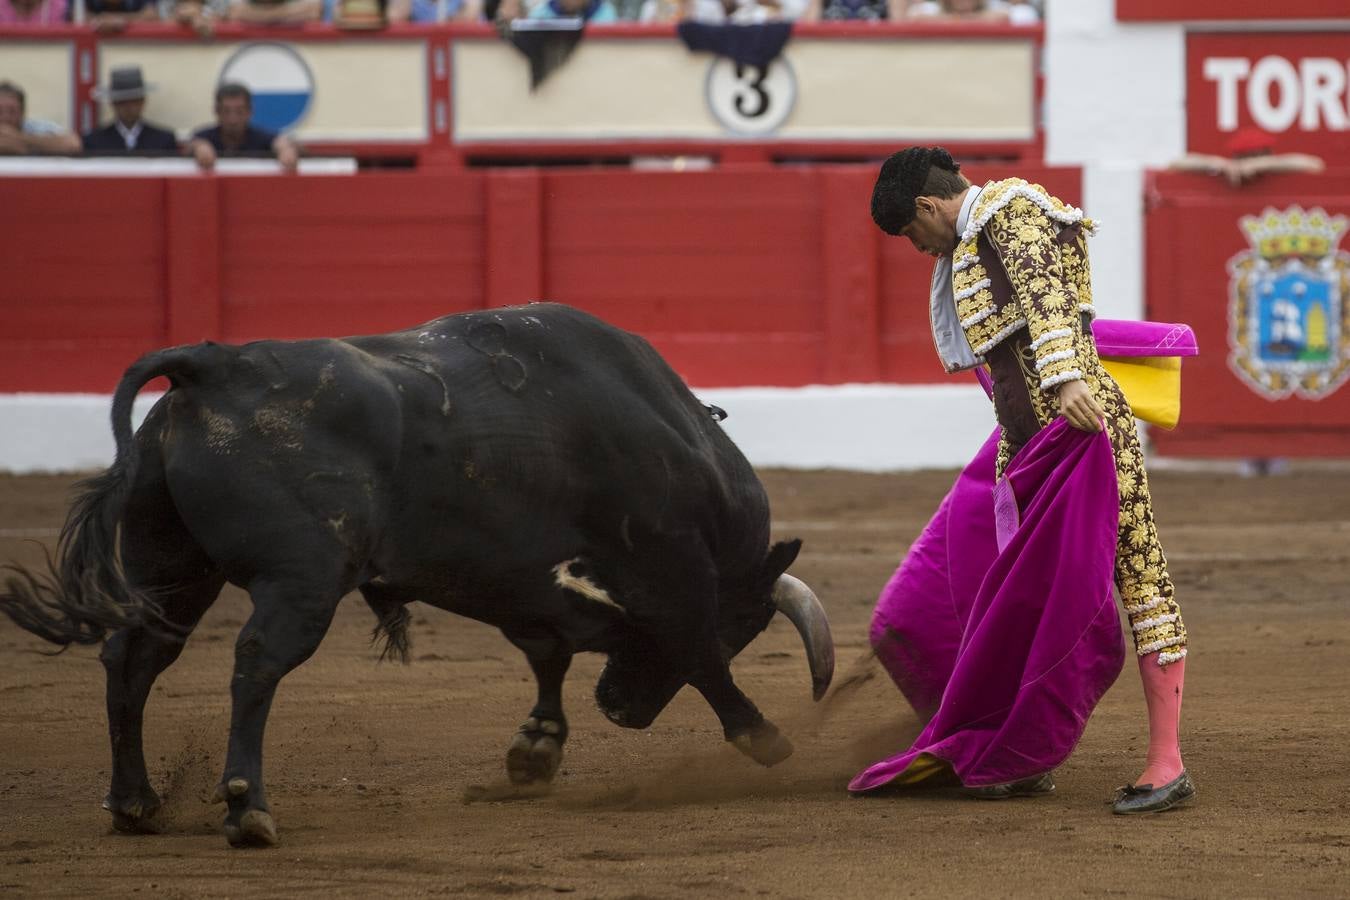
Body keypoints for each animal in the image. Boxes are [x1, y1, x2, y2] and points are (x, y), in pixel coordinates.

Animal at [0, 306, 831, 847]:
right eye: (746, 624)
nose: (624, 711)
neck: (677, 440)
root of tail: (214, 365)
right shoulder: (672, 569)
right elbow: (695, 650)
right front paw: (764, 737)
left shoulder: (524, 581)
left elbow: (550, 654)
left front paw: (535, 749)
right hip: (302, 578)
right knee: (256, 662)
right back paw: (248, 809)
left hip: (170, 566)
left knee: (135, 658)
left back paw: (135, 801)